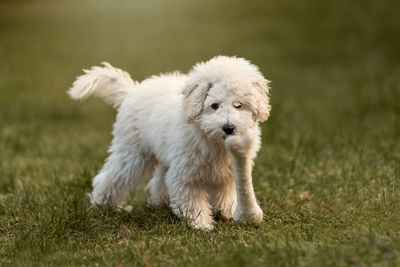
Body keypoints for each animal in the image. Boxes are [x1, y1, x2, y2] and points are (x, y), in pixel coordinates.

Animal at [69, 56, 270, 230]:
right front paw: (201, 225)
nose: (228, 128)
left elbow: (225, 194)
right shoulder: (185, 173)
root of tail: (132, 91)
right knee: (113, 177)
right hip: (134, 154)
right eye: (214, 105)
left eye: (238, 105)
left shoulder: (226, 173)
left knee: (158, 180)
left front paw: (227, 213)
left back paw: (158, 202)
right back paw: (102, 204)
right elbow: (192, 200)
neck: (213, 140)